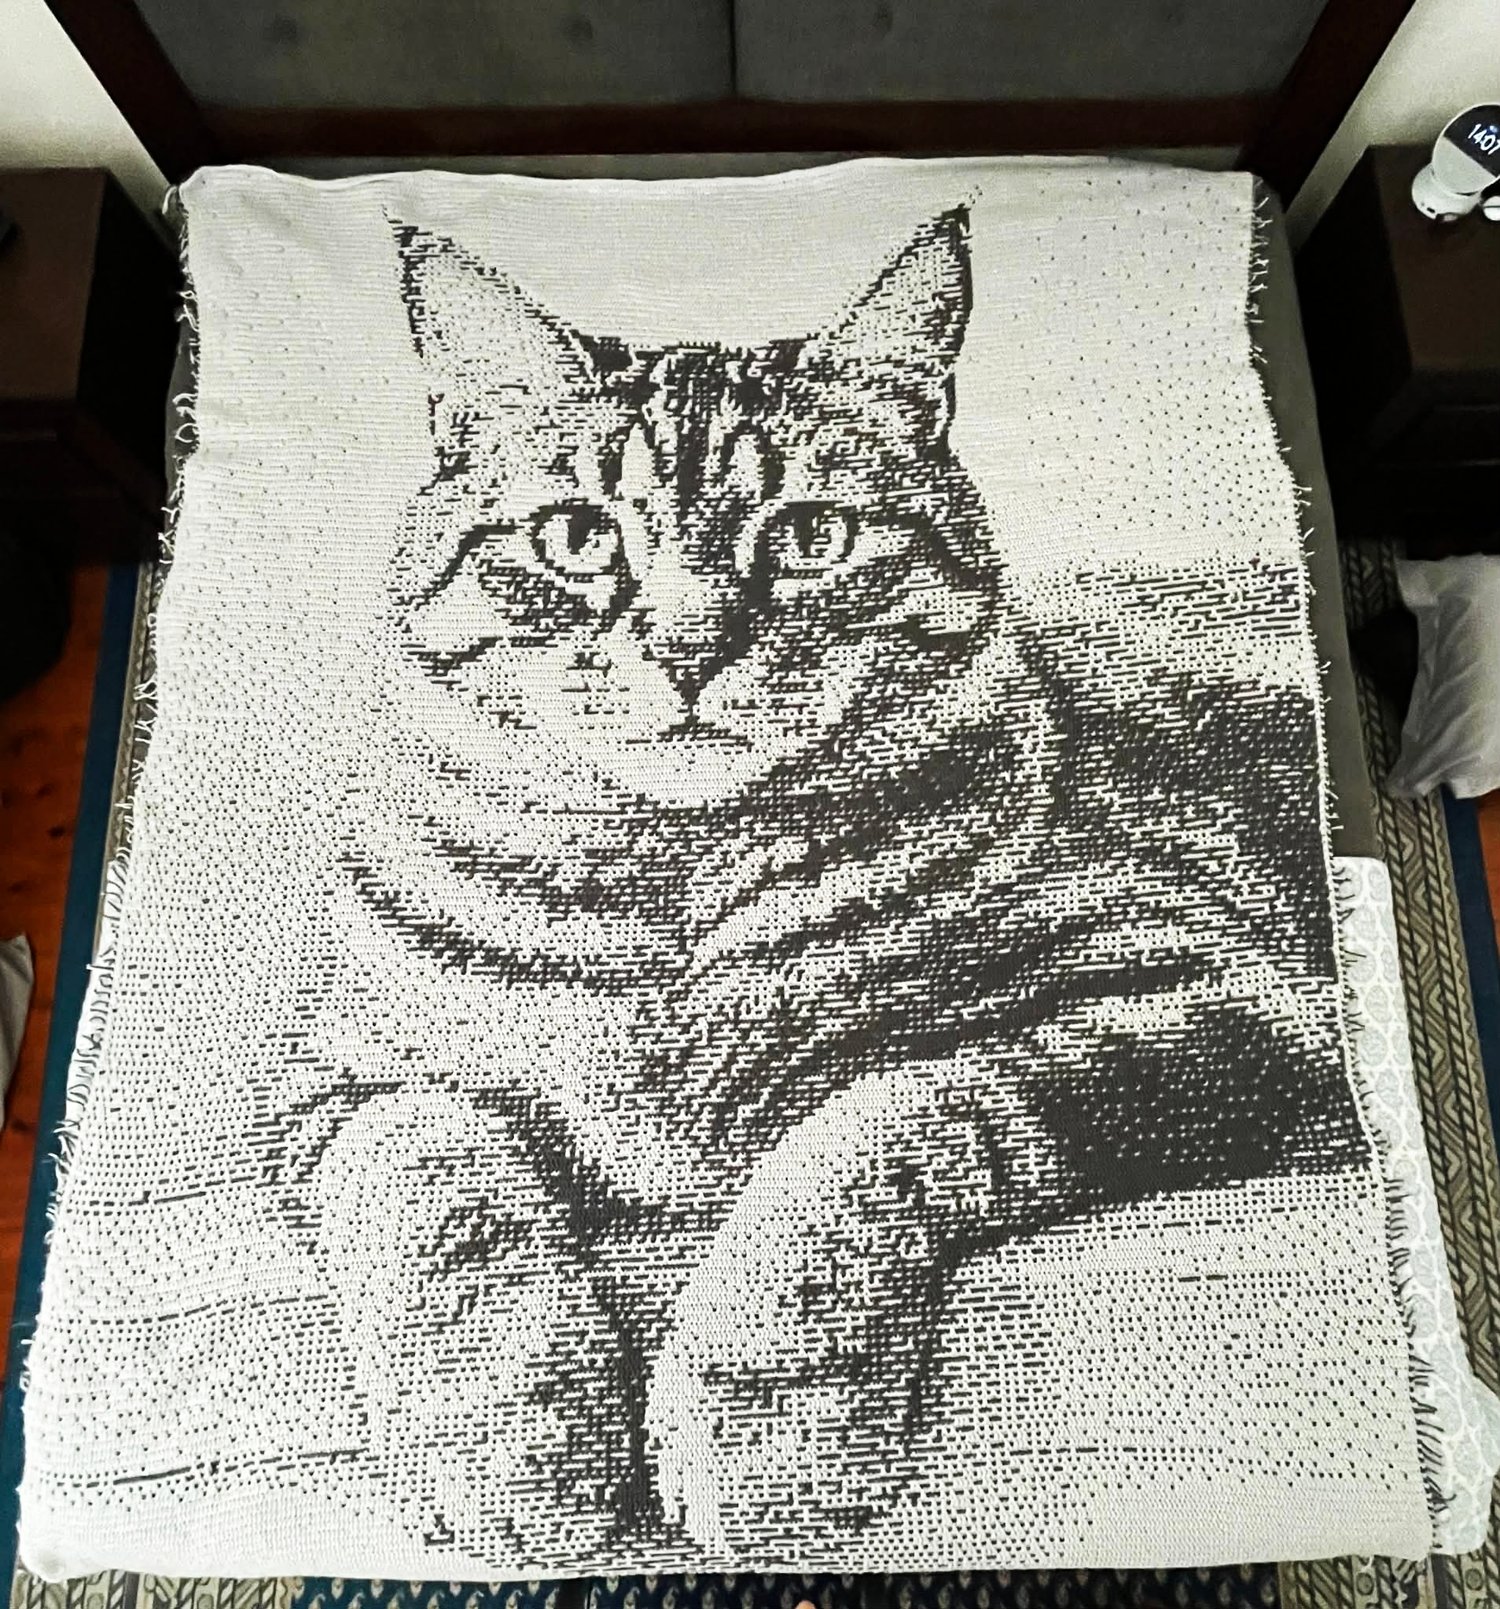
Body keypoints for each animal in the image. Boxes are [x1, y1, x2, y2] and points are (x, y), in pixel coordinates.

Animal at [282, 205, 1372, 1566]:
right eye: (579, 537)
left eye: (807, 537)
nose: (689, 649)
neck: (675, 889)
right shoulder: (344, 1084)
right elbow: (436, 1186)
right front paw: (513, 1435)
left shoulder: (1217, 989)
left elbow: (873, 1121)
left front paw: (763, 1420)